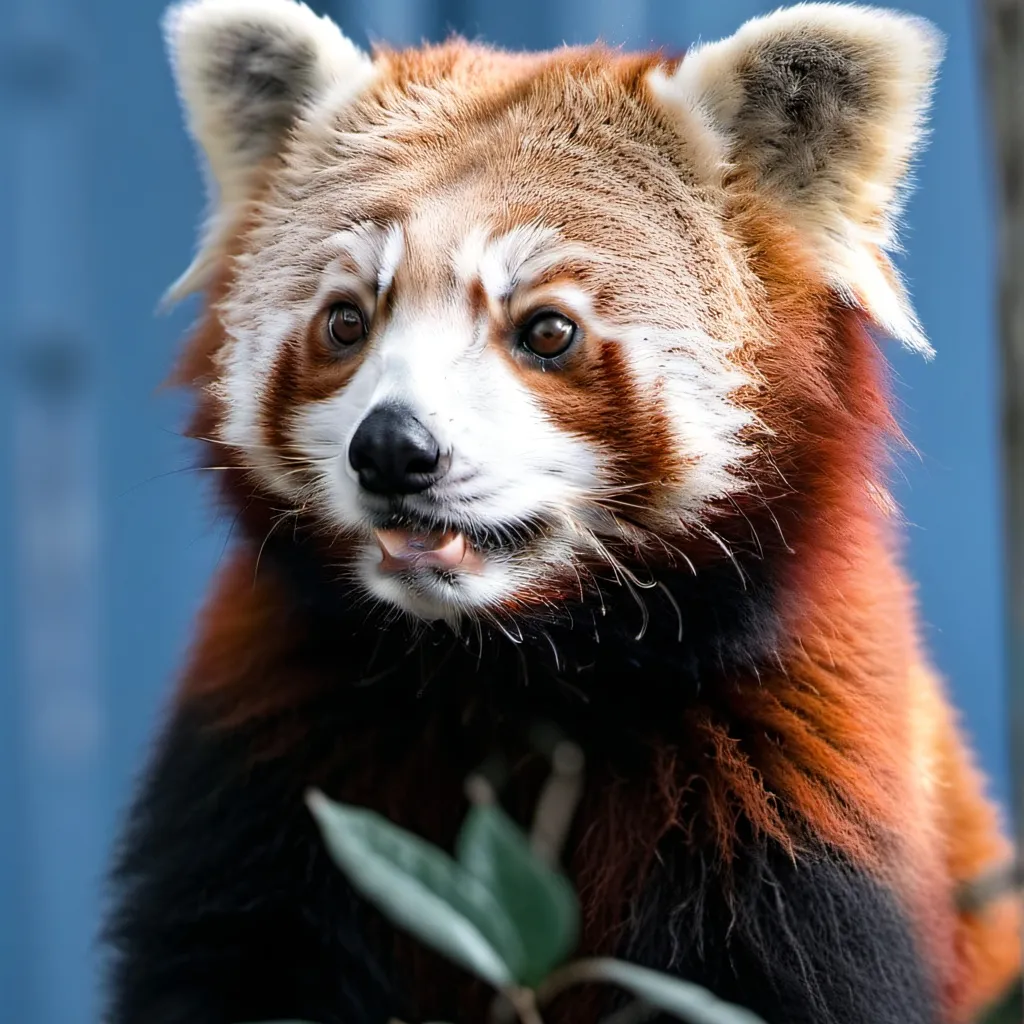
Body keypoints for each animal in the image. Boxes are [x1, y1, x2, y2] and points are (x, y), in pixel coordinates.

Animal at [103, 2, 1021, 1022]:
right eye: (347, 321)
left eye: (547, 331)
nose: (393, 450)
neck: (515, 670)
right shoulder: (267, 762)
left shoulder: (789, 785)